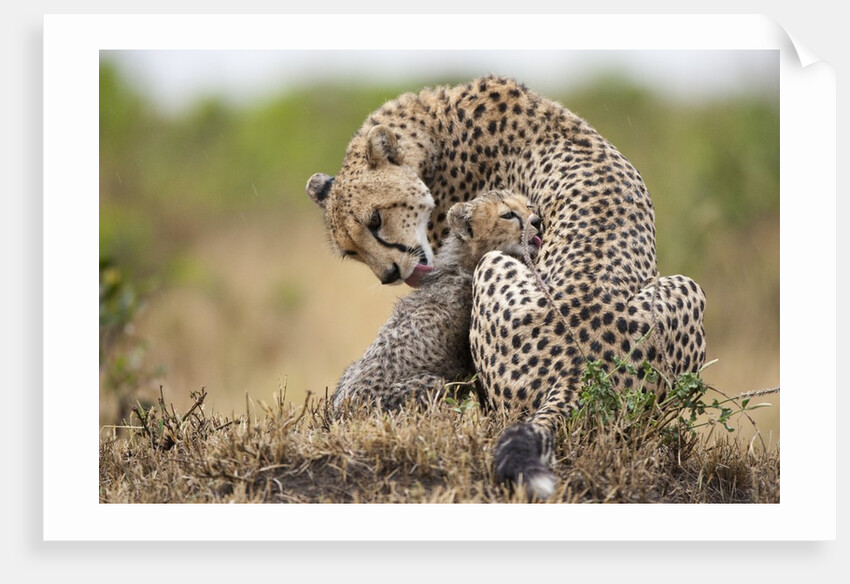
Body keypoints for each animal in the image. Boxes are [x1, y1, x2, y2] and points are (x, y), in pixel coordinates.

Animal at [332, 190, 542, 414]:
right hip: (431, 385)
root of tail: (338, 409)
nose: (537, 221)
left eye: (529, 206)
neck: (463, 263)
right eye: (507, 215)